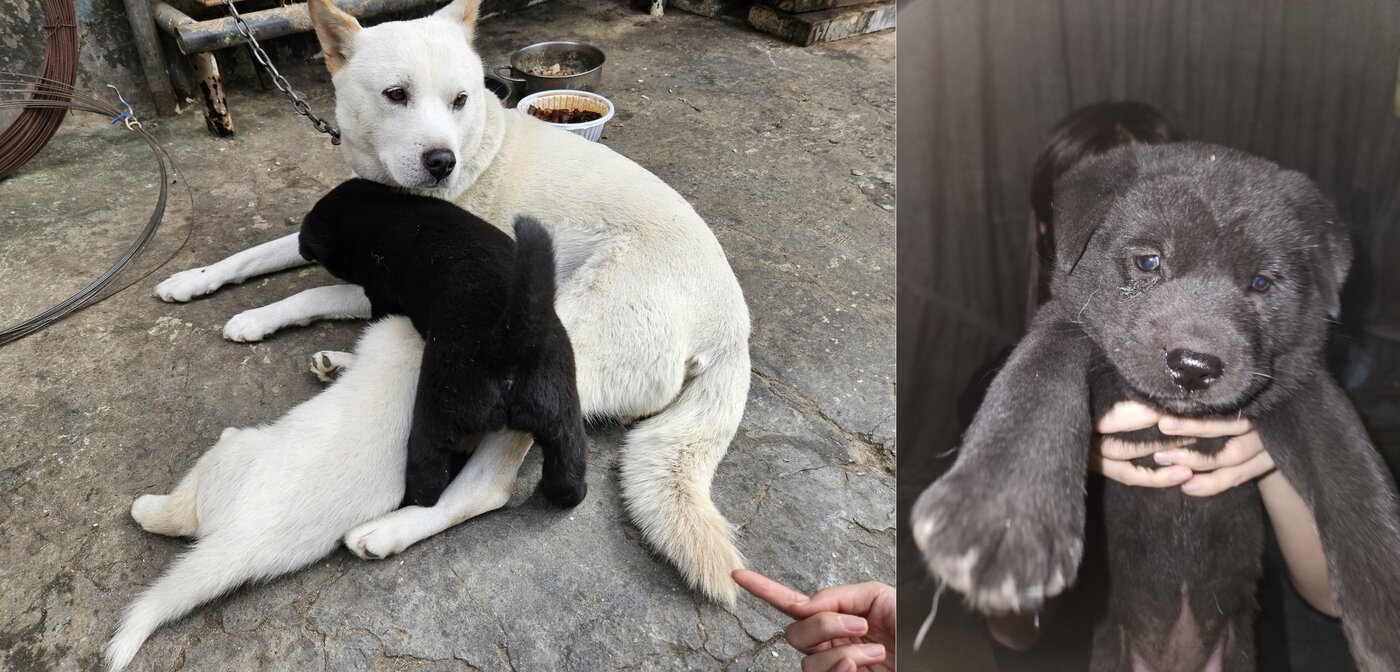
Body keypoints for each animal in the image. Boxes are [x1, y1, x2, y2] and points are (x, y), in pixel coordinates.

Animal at [303, 178, 588, 509]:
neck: (379, 209)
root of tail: (507, 347)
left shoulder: (381, 296)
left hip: (436, 415)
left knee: (427, 482)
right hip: (562, 417)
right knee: (567, 477)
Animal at [907, 142, 1400, 672]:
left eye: (1262, 283)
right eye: (1148, 262)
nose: (1195, 366)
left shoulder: (1300, 380)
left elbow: (1349, 464)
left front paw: (1387, 609)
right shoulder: (1065, 325)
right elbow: (1037, 374)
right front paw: (1000, 517)